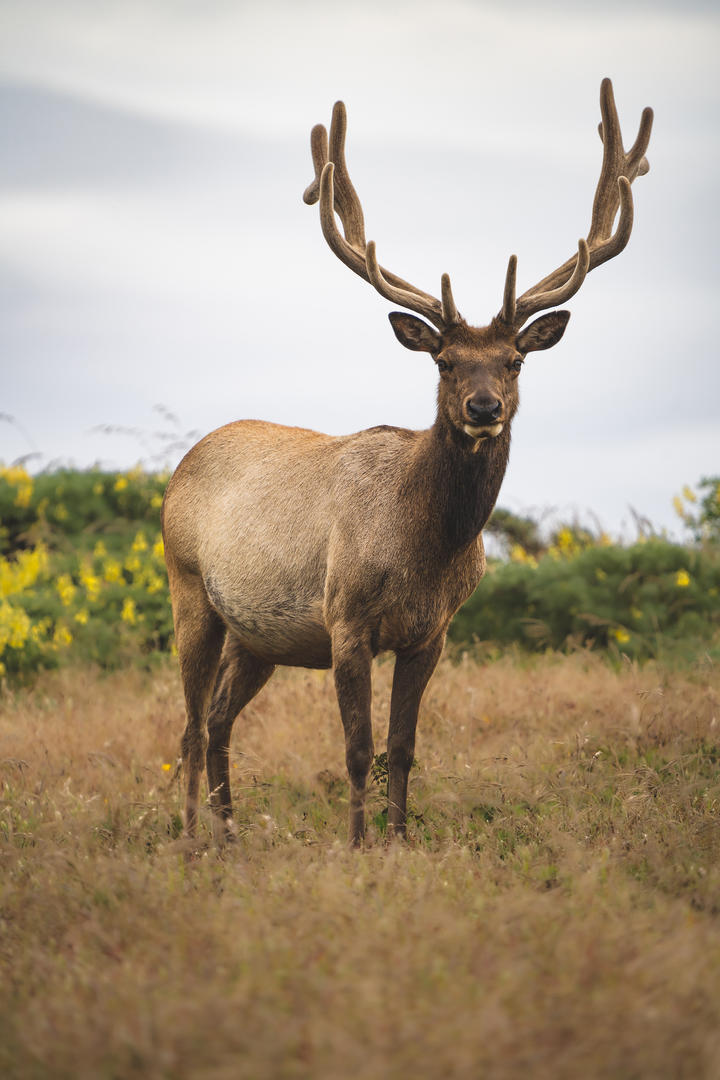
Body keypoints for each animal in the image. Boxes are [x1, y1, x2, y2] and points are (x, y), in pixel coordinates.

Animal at [161, 79, 651, 846]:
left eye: (514, 360)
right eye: (444, 361)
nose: (483, 406)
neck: (424, 548)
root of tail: (185, 462)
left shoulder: (433, 633)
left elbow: (405, 746)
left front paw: (396, 840)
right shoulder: (346, 618)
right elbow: (359, 747)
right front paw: (359, 844)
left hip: (258, 633)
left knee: (215, 720)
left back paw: (231, 833)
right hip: (188, 588)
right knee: (185, 723)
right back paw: (190, 838)